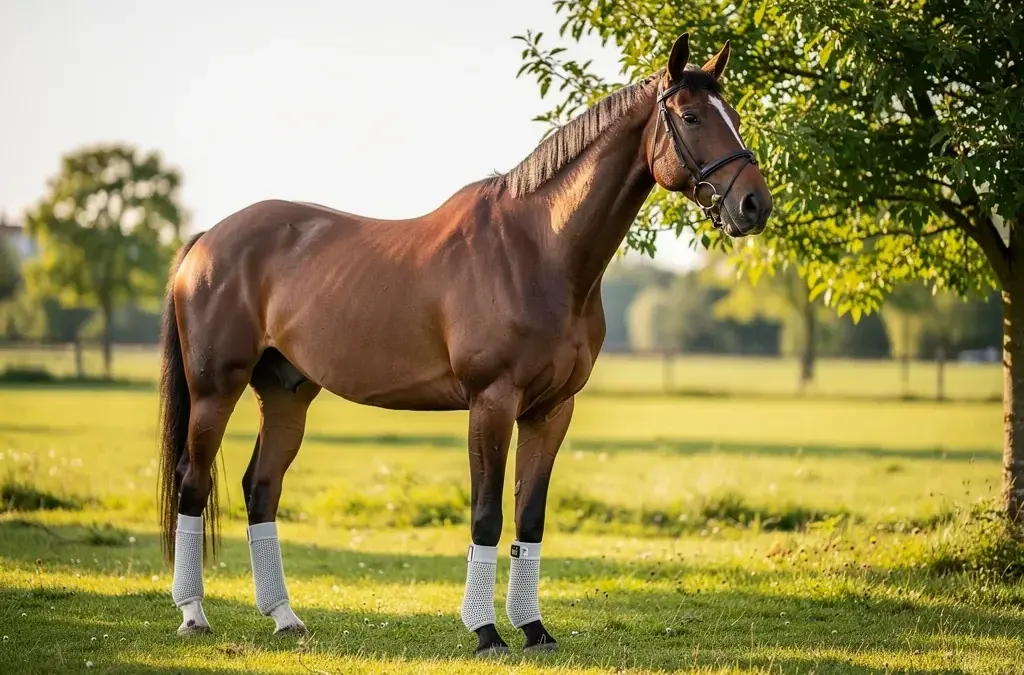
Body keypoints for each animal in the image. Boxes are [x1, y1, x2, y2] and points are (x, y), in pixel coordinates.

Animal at [156, 32, 773, 656]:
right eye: (691, 117)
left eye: (734, 114)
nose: (754, 205)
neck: (537, 250)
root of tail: (207, 240)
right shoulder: (491, 402)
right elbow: (486, 516)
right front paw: (486, 632)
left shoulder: (552, 410)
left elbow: (530, 519)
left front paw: (534, 629)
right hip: (215, 391)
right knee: (192, 483)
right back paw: (193, 614)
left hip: (286, 393)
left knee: (261, 488)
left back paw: (284, 616)